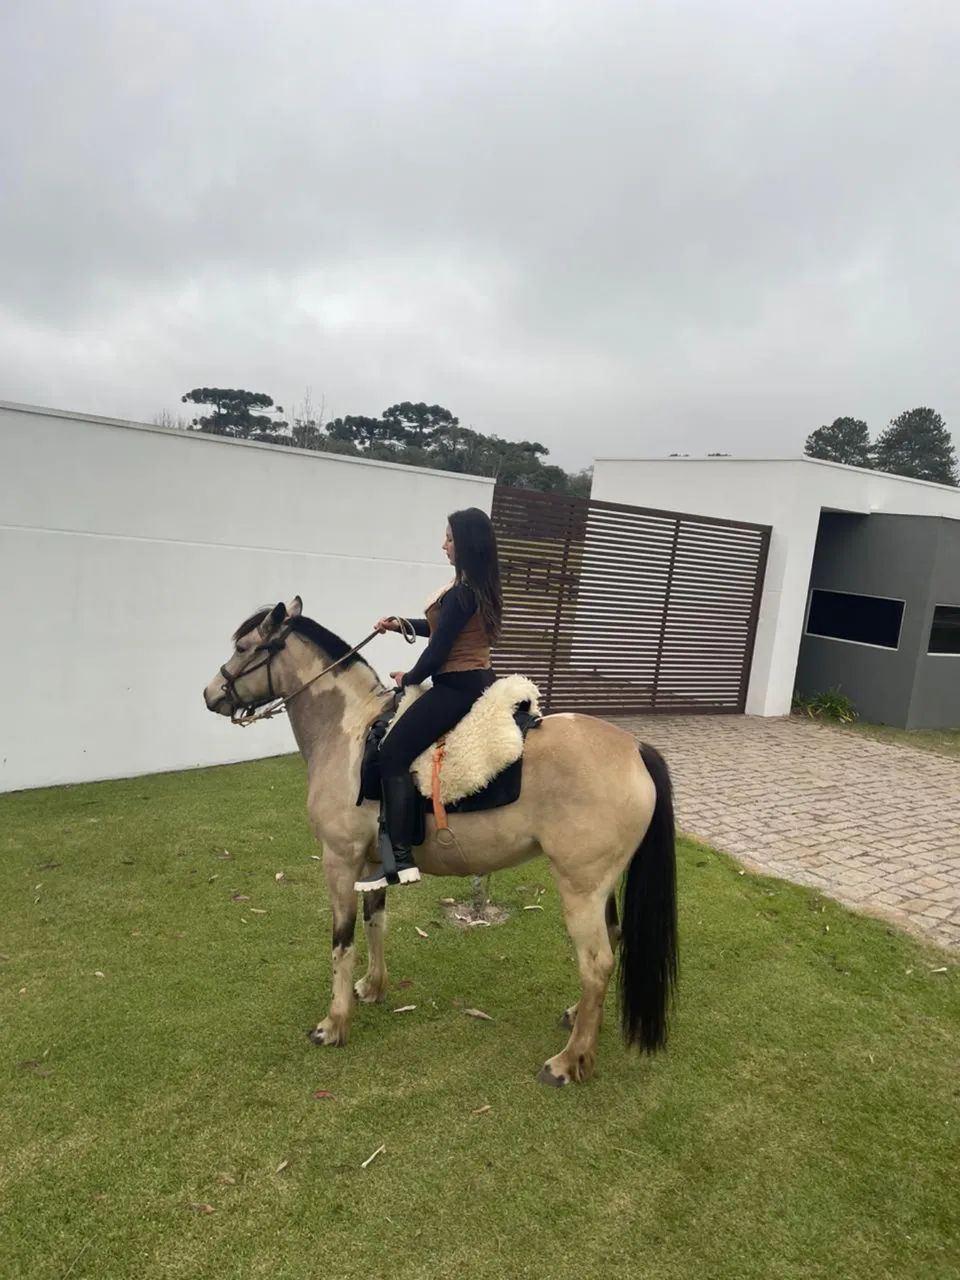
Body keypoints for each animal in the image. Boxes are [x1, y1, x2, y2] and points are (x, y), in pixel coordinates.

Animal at [203, 596, 678, 1086]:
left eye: (243, 647)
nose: (210, 693)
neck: (351, 733)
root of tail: (636, 749)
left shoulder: (339, 861)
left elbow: (342, 941)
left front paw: (333, 1024)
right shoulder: (372, 864)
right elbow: (376, 924)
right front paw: (372, 988)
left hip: (580, 888)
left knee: (596, 963)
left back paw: (568, 1061)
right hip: (599, 885)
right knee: (611, 941)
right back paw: (576, 1018)